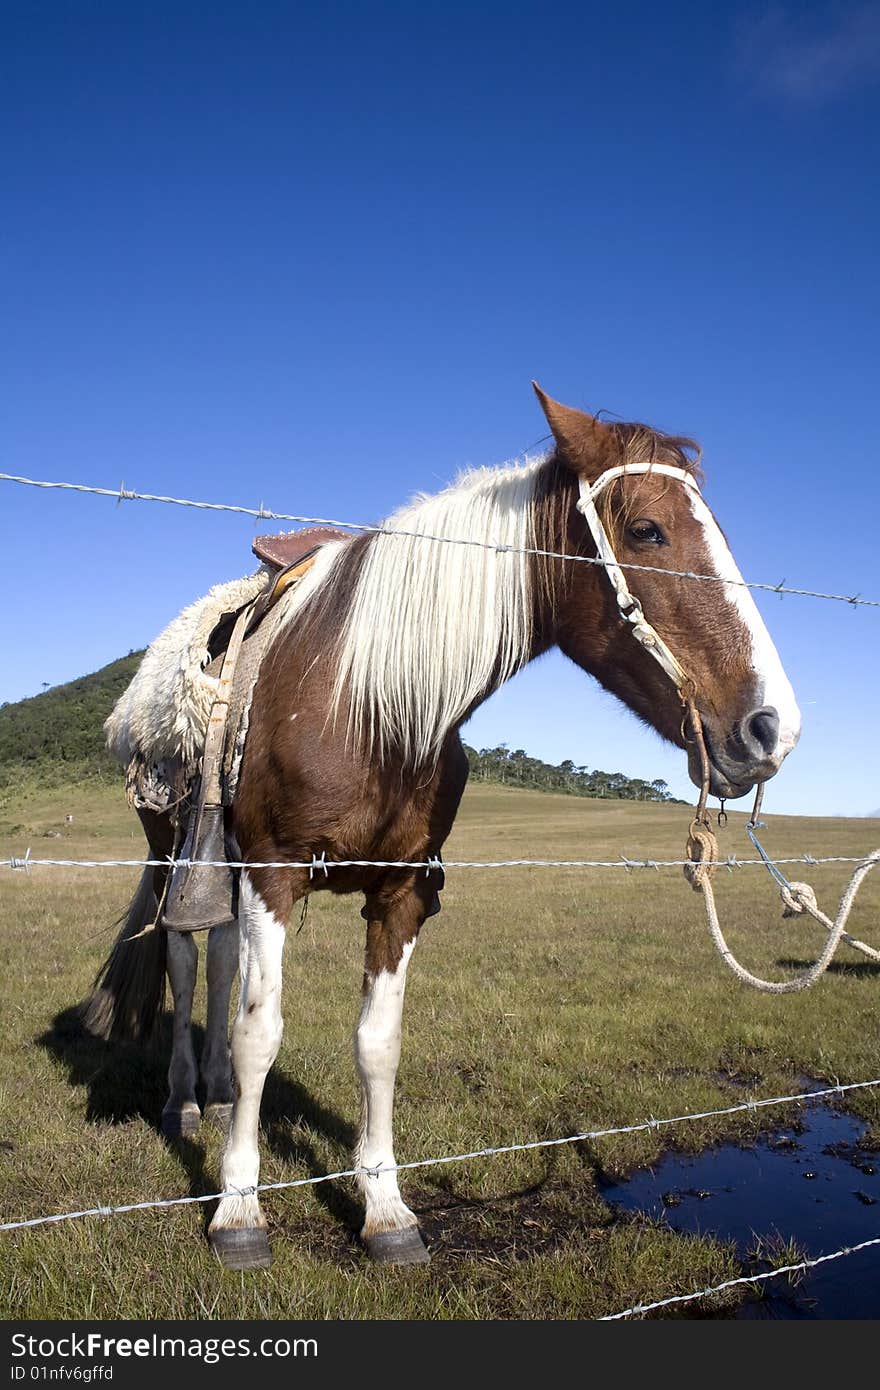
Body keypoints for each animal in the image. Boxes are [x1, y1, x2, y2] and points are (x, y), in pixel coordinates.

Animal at [80, 383, 795, 1273]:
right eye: (646, 531)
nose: (772, 728)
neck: (364, 700)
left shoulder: (401, 892)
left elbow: (376, 1043)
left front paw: (386, 1207)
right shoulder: (275, 872)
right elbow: (260, 1033)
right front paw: (239, 1208)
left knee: (215, 963)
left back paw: (213, 1097)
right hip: (174, 850)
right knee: (184, 963)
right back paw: (184, 1102)